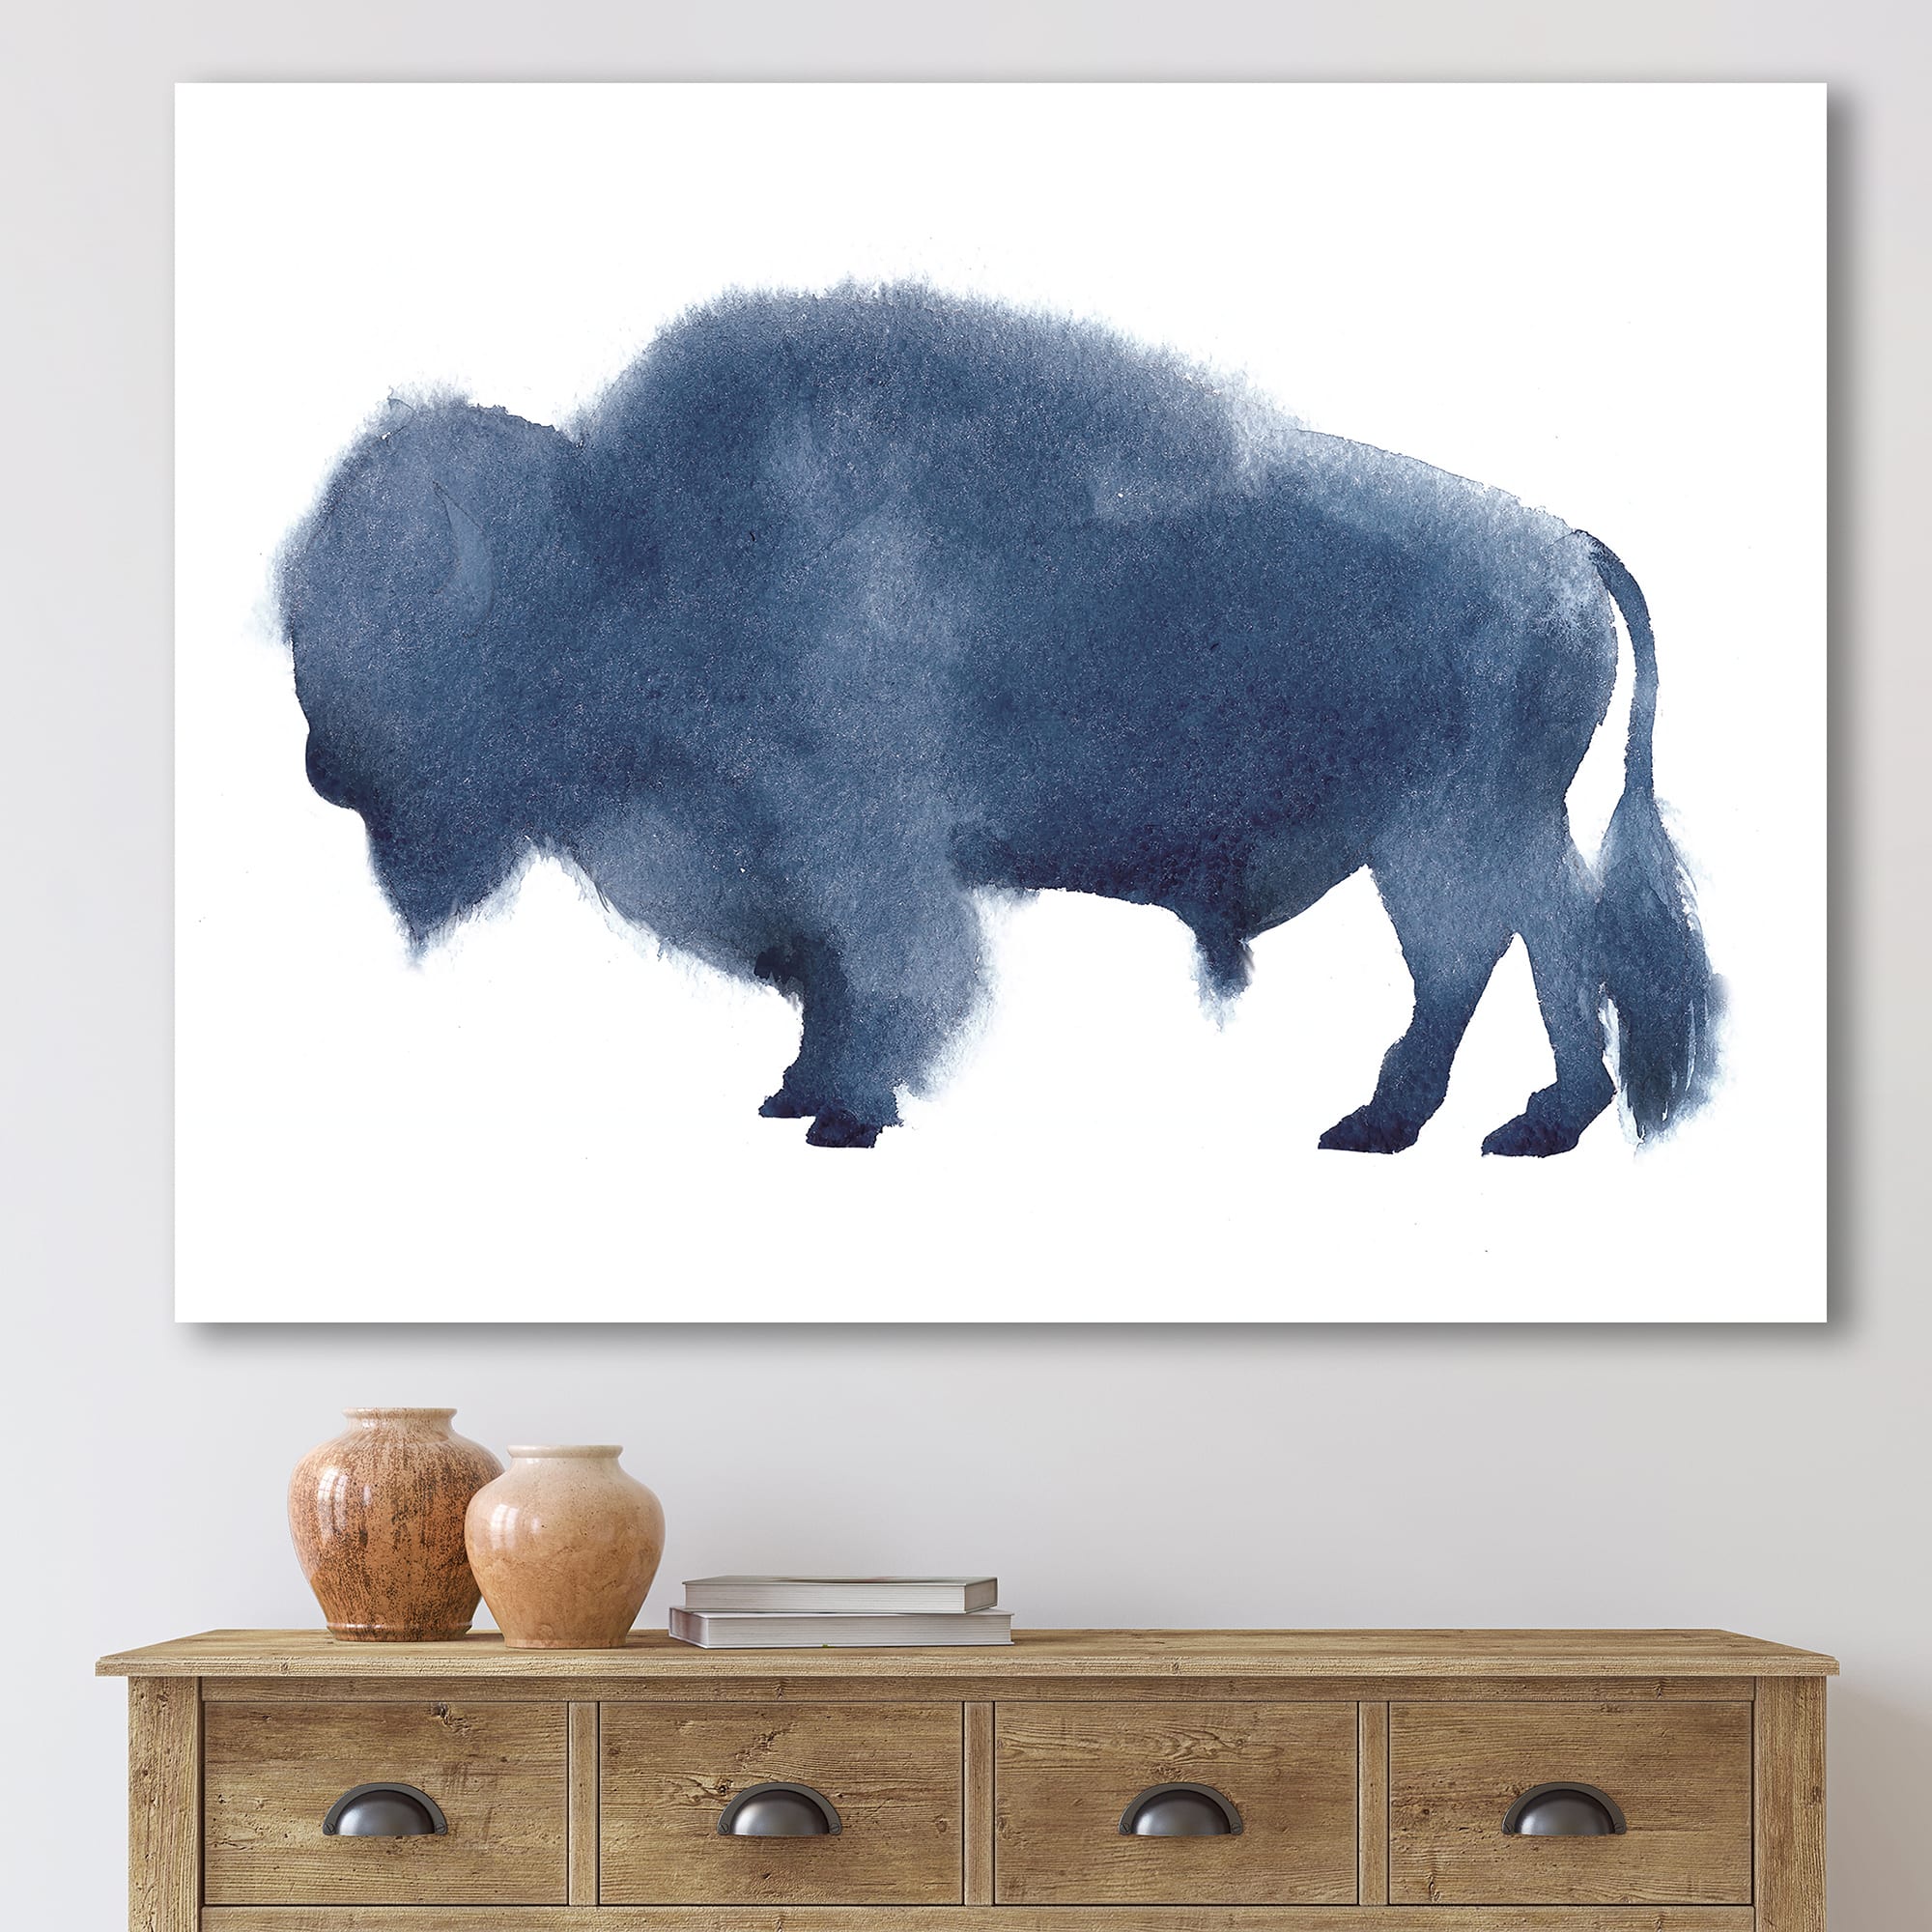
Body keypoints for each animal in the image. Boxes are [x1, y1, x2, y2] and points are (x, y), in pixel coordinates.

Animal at [280, 284, 1717, 1150]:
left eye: (417, 599)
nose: (320, 761)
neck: (633, 540)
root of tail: (1559, 548)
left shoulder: (861, 843)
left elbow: (889, 969)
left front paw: (849, 1114)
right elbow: (827, 977)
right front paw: (796, 1093)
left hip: (1455, 829)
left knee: (1510, 947)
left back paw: (1481, 1123)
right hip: (1446, 834)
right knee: (1505, 950)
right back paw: (1441, 1121)